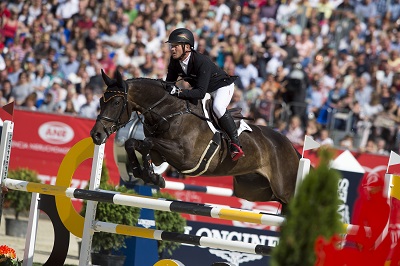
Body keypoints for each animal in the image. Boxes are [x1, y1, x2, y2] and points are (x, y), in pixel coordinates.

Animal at [90, 70, 300, 212]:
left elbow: (148, 142)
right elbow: (133, 143)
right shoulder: (160, 155)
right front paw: (142, 172)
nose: (96, 135)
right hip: (252, 189)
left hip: (284, 191)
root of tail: (292, 148)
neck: (169, 112)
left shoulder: (185, 158)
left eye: (117, 102)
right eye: (100, 100)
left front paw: (151, 175)